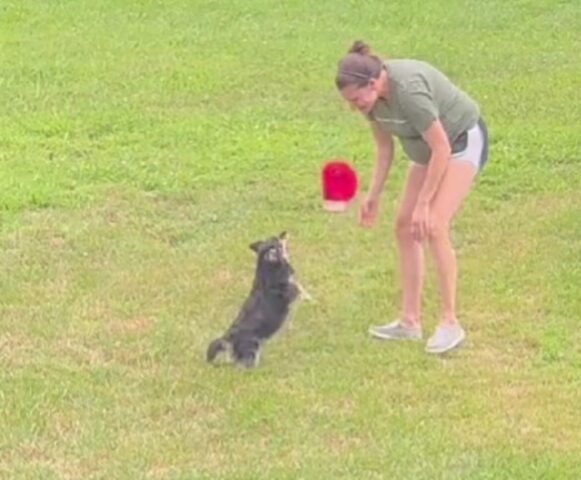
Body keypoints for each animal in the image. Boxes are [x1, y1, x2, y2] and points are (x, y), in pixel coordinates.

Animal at [206, 231, 310, 370]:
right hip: (252, 348)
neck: (266, 270)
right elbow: (302, 290)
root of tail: (228, 338)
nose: (284, 232)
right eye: (277, 242)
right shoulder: (293, 290)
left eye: (275, 237)